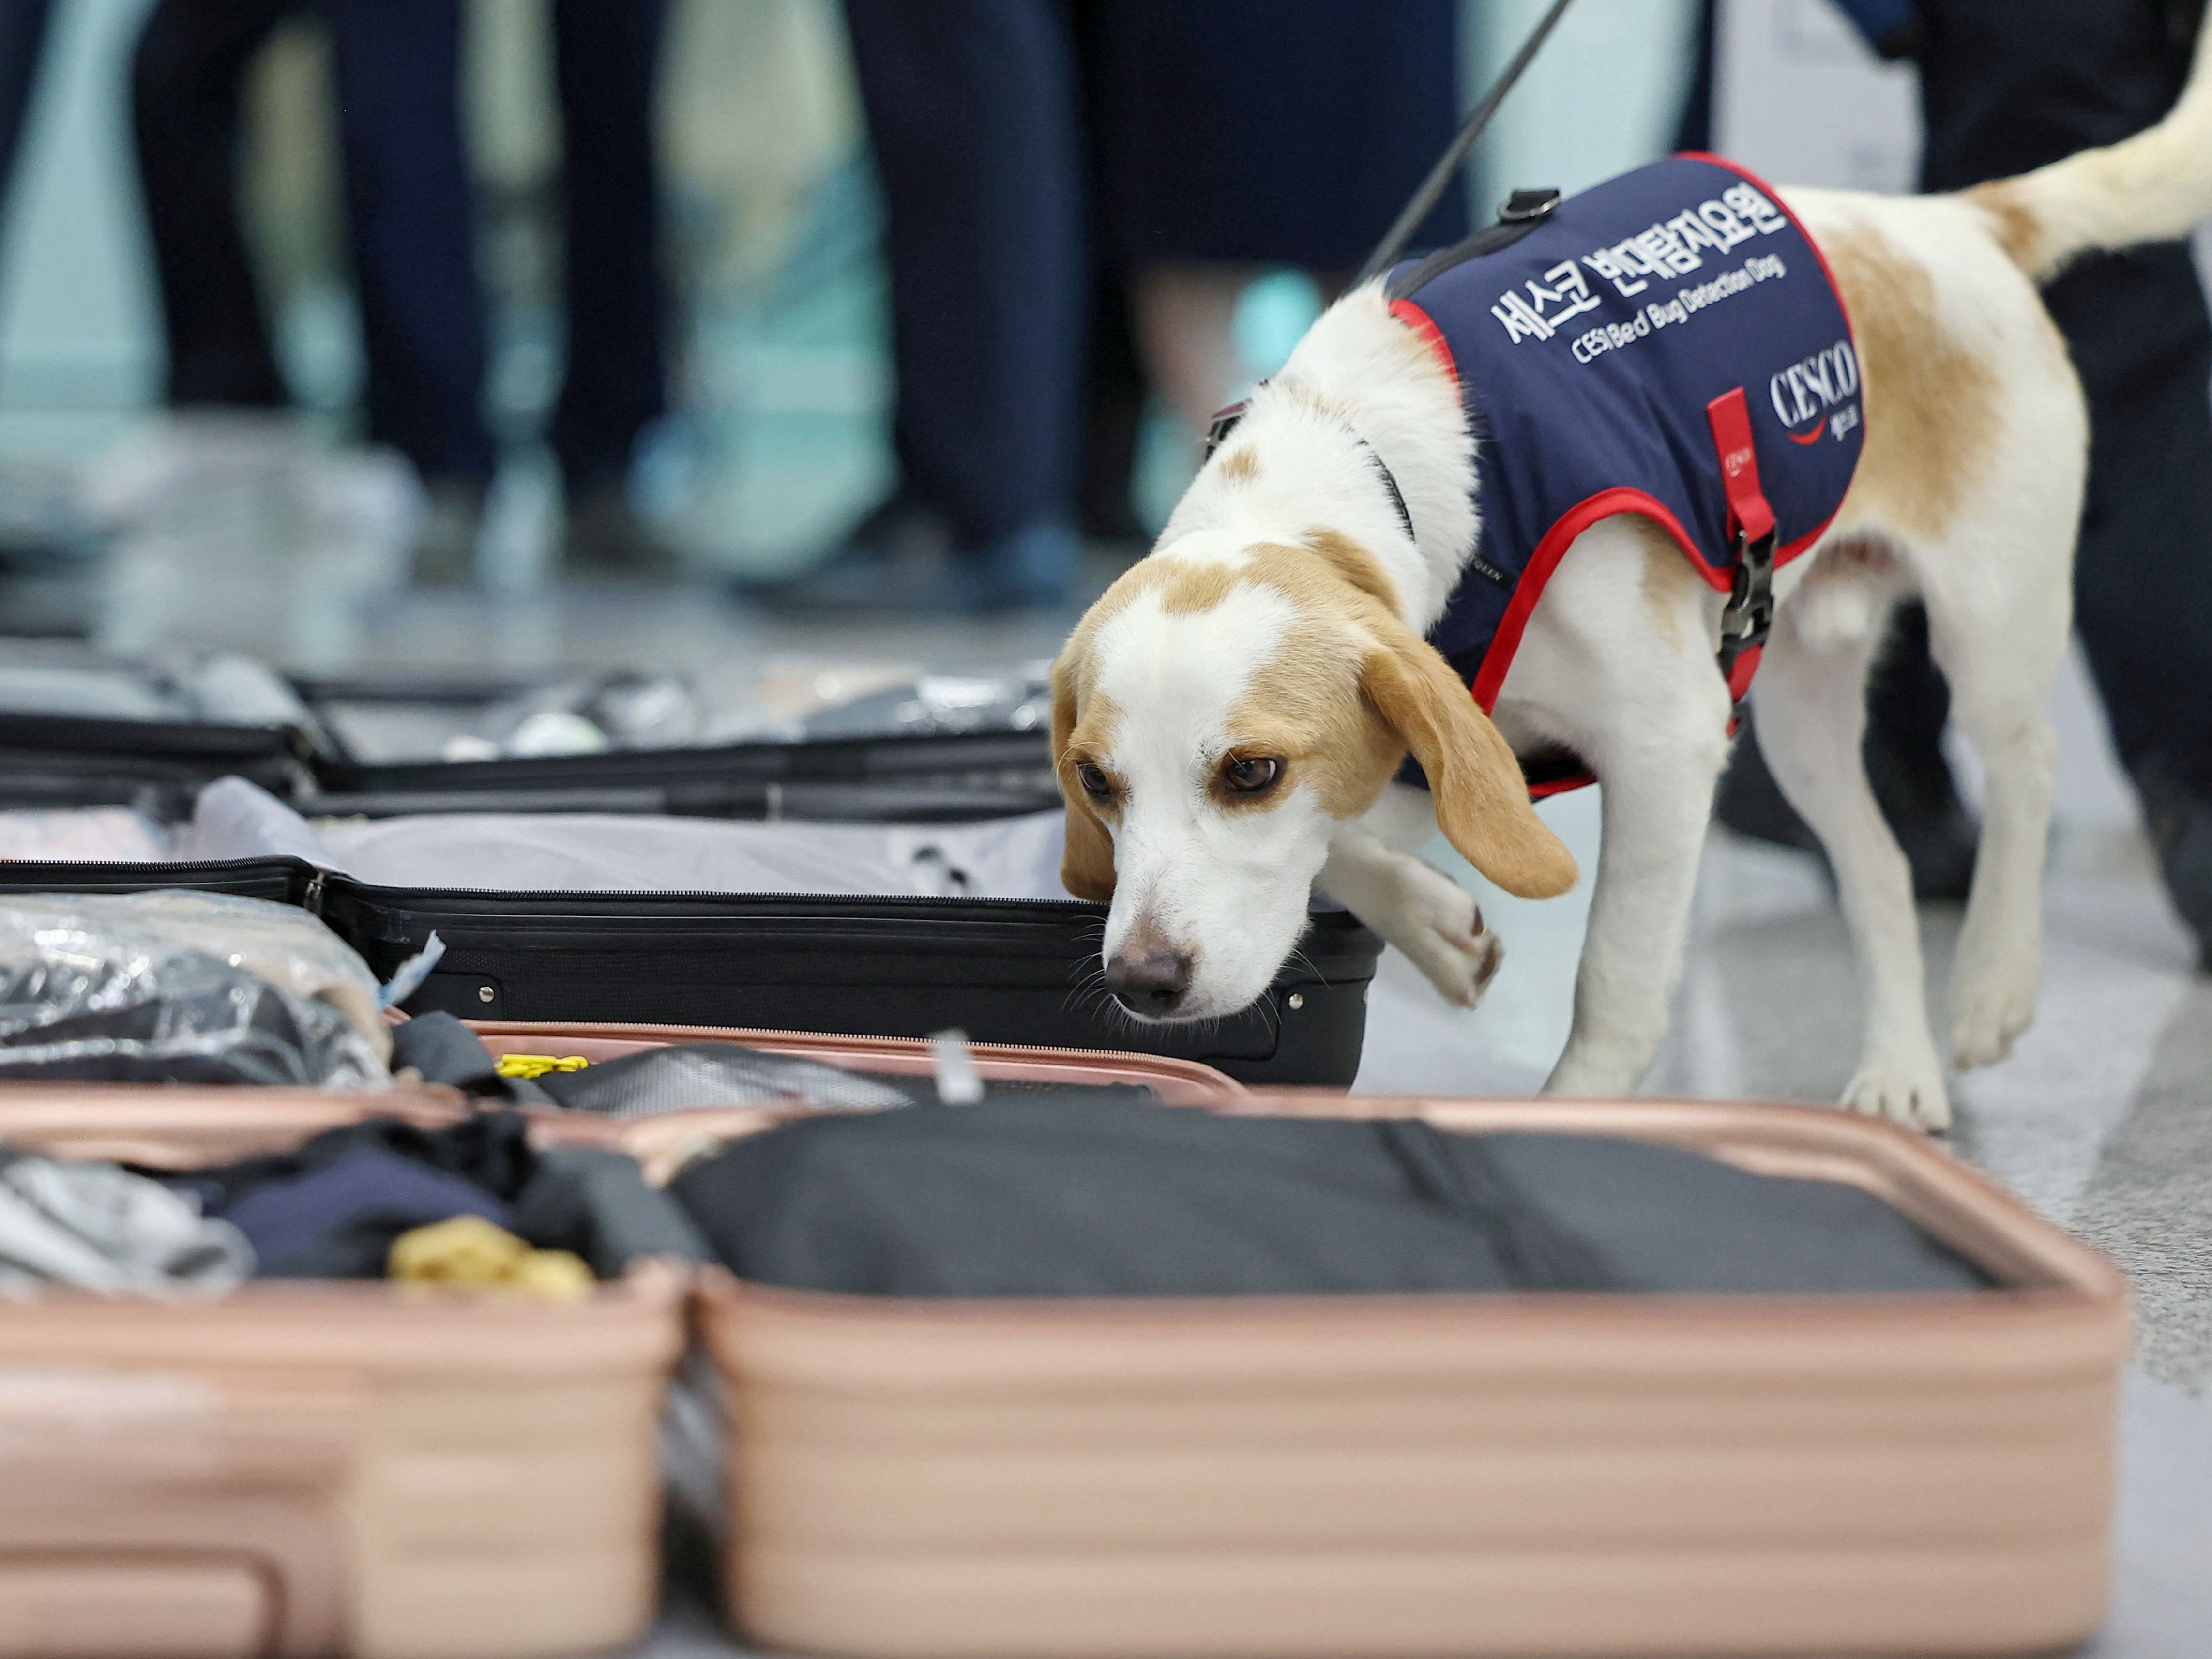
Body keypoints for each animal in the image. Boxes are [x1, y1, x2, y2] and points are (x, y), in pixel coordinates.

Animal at [1048, 32, 2212, 1141]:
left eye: (1251, 773)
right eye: (1096, 783)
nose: (1142, 984)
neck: (1369, 457)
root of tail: (1950, 221)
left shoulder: (1666, 743)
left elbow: (1616, 980)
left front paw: (1578, 1111)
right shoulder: (1434, 747)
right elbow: (1347, 848)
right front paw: (1435, 926)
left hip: (1989, 624)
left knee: (2027, 770)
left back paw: (1992, 986)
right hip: (1795, 712)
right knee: (1880, 870)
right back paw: (1899, 1071)